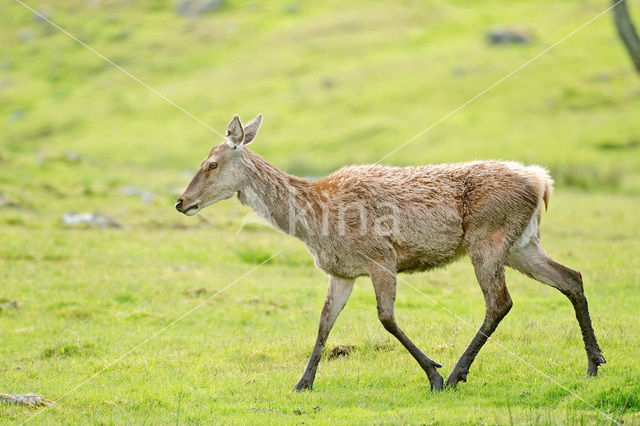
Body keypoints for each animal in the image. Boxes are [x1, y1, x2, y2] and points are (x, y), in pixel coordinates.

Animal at [174, 114, 604, 392]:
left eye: (211, 164)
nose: (181, 201)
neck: (315, 220)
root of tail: (542, 181)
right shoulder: (341, 272)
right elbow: (324, 323)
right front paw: (302, 383)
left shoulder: (381, 256)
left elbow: (385, 318)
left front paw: (433, 374)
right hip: (522, 244)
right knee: (572, 277)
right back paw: (594, 363)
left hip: (489, 238)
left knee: (500, 301)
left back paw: (456, 374)